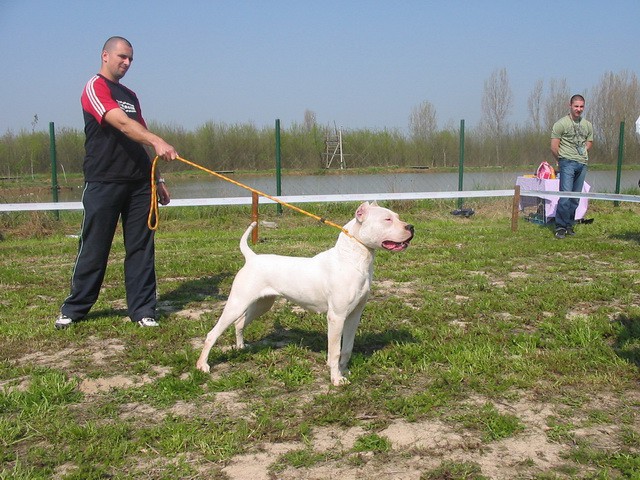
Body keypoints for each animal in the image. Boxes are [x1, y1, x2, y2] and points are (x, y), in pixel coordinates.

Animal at [196, 202, 416, 386]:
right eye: (387, 219)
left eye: (397, 217)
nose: (411, 227)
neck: (352, 259)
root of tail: (251, 257)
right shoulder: (336, 317)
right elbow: (335, 351)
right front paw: (336, 379)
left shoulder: (354, 315)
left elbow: (347, 347)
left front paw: (344, 371)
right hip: (237, 302)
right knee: (213, 333)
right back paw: (202, 365)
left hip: (262, 304)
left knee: (239, 323)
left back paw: (242, 347)